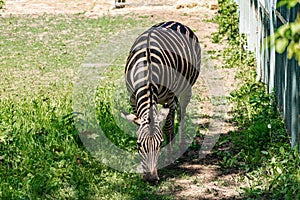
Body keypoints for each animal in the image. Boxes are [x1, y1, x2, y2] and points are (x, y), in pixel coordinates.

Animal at [120, 20, 200, 184]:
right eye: (138, 145)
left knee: (181, 115)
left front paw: (168, 157)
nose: (151, 179)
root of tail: (176, 22)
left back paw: (180, 145)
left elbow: (168, 128)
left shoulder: (169, 96)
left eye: (159, 143)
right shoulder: (133, 99)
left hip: (185, 90)